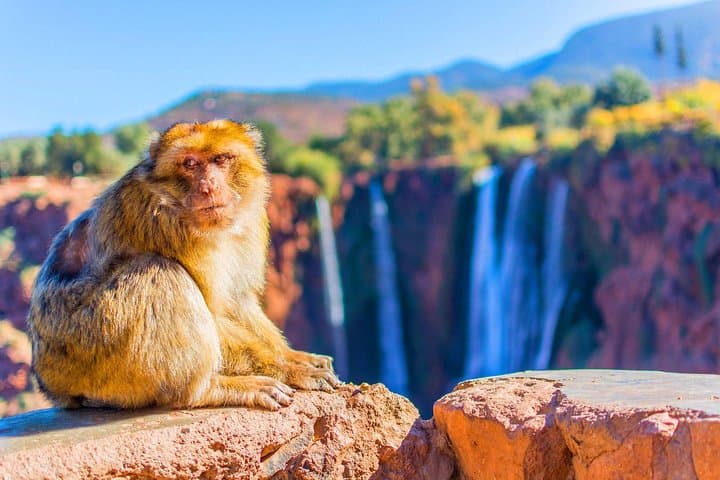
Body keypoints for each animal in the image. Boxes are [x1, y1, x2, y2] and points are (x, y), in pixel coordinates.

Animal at [27, 119, 340, 411]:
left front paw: (293, 357)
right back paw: (205, 391)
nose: (209, 186)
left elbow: (238, 301)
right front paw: (287, 369)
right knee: (159, 272)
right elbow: (213, 310)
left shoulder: (252, 219)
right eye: (190, 163)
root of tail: (48, 382)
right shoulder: (160, 221)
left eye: (221, 159)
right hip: (86, 351)